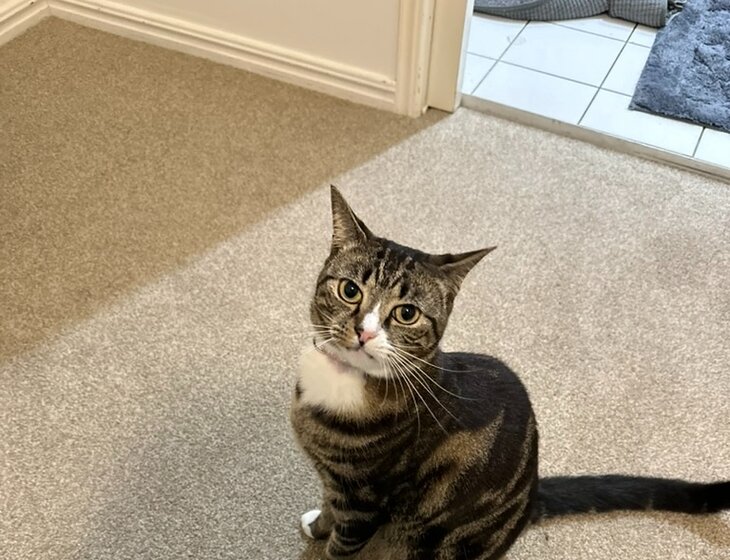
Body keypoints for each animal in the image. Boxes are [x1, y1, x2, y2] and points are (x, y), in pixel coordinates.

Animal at [290, 186, 729, 560]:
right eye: (349, 290)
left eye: (407, 313)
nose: (364, 332)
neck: (341, 380)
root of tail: (530, 497)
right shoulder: (336, 485)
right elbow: (329, 509)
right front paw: (318, 525)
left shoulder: (364, 501)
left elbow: (342, 546)